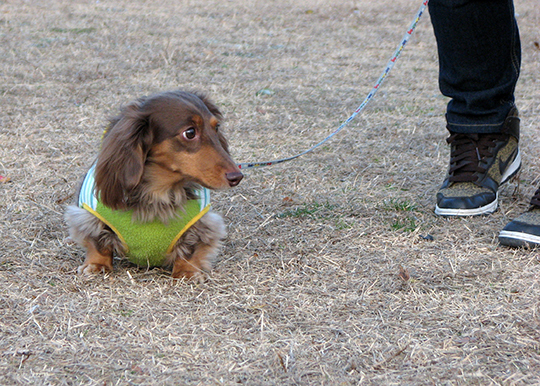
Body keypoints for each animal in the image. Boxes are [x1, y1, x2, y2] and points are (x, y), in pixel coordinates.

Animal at [65, 90, 243, 280]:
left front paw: (187, 272)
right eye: (190, 132)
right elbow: (98, 242)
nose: (237, 177)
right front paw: (96, 265)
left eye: (216, 127)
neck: (158, 190)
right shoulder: (89, 216)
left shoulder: (203, 224)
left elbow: (190, 247)